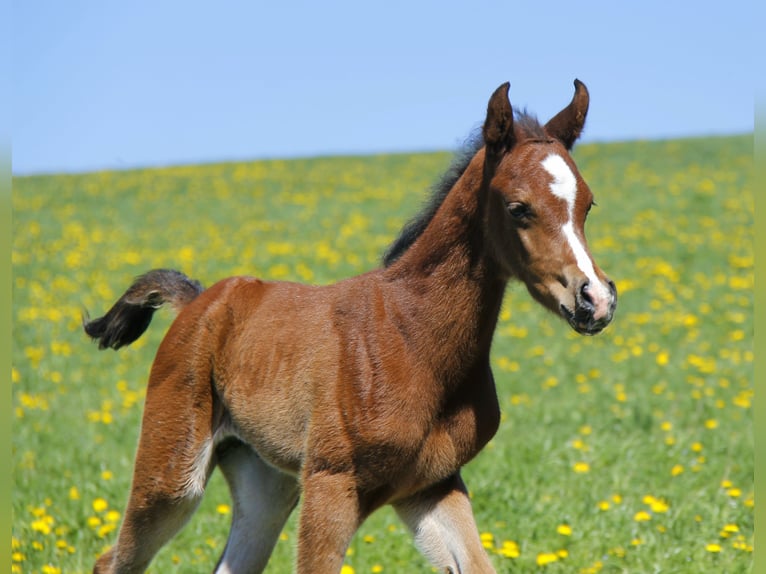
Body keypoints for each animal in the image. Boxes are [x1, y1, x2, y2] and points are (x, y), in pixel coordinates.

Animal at [83, 80, 617, 574]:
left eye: (588, 204)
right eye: (518, 207)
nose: (595, 299)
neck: (413, 335)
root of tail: (197, 300)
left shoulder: (432, 484)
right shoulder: (331, 481)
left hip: (265, 482)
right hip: (173, 470)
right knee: (114, 560)